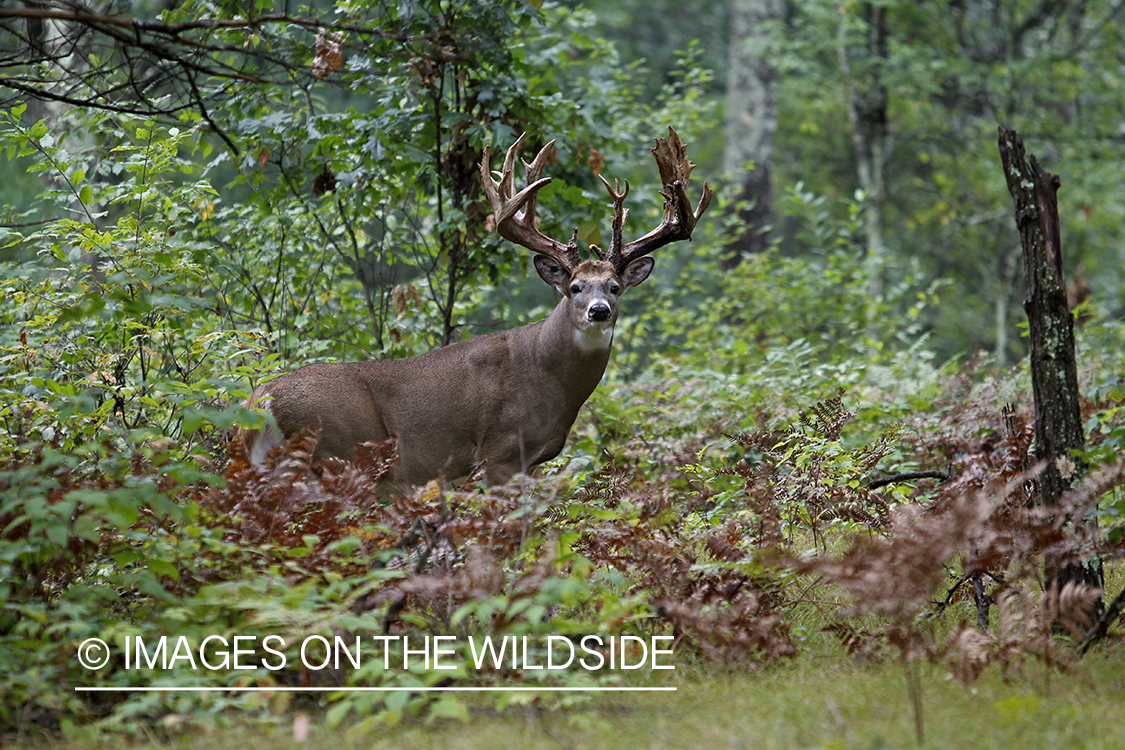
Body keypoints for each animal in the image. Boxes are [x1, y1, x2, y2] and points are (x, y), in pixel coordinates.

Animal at [237, 127, 711, 492]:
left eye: (614, 287)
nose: (598, 311)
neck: (549, 377)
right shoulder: (500, 452)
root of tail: (258, 401)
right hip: (335, 452)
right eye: (574, 287)